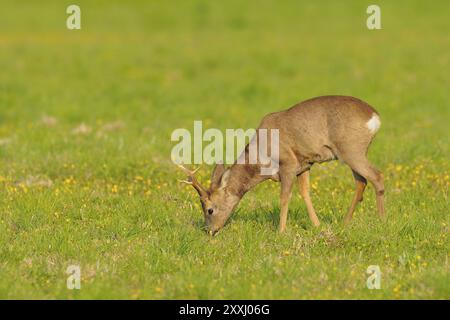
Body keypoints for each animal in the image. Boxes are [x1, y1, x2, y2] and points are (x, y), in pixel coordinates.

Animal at [178, 95, 384, 235]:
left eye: (210, 209)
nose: (209, 230)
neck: (261, 155)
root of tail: (375, 117)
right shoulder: (305, 165)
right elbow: (305, 193)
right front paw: (317, 225)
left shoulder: (288, 164)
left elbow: (284, 197)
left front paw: (281, 230)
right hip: (353, 152)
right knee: (362, 182)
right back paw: (345, 223)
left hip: (351, 149)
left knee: (377, 176)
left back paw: (382, 220)